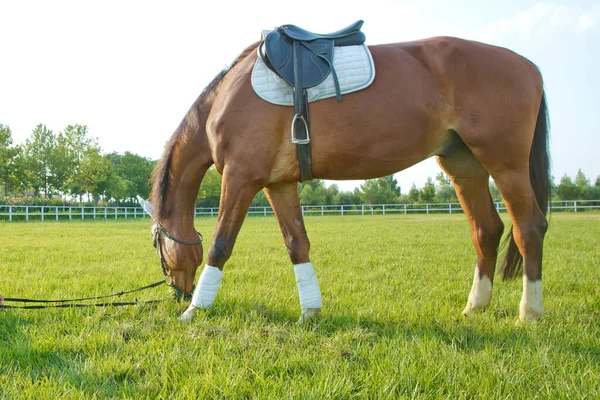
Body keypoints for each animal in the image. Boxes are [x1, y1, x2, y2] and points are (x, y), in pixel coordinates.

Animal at [149, 32, 548, 324]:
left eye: (157, 245)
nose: (178, 293)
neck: (227, 97)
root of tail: (527, 64)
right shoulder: (278, 184)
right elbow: (297, 244)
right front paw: (310, 312)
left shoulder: (241, 176)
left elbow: (220, 244)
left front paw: (194, 311)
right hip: (464, 166)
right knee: (486, 230)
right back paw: (476, 306)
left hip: (506, 165)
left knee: (529, 227)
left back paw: (529, 312)